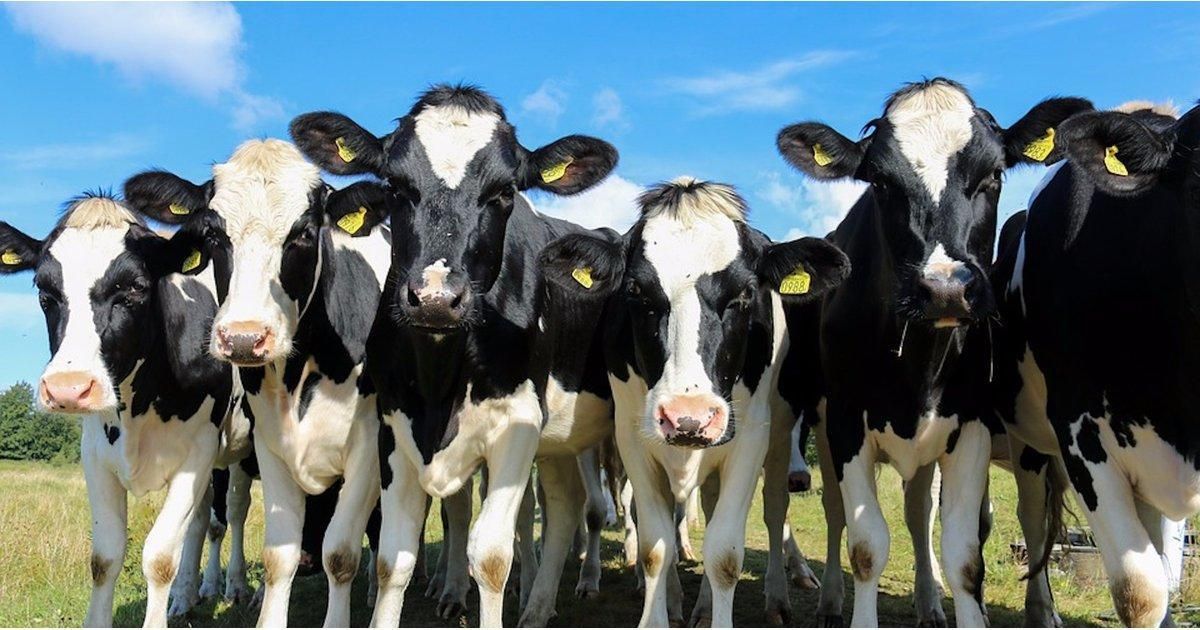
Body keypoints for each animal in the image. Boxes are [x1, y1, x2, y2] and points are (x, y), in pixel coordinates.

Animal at [0, 194, 251, 627]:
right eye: (45, 294)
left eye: (134, 287)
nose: (68, 388)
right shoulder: (95, 454)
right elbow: (105, 557)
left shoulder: (199, 450)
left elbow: (160, 557)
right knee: (202, 521)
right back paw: (187, 594)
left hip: (237, 452)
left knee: (233, 512)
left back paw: (233, 586)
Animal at [121, 138, 391, 627]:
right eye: (213, 235)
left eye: (304, 232)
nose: (244, 337)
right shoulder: (269, 445)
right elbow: (278, 555)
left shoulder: (368, 447)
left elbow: (341, 554)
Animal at [289, 84, 621, 627]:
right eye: (395, 185)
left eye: (505, 192)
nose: (436, 298)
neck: (439, 383)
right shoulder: (393, 427)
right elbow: (393, 558)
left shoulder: (517, 424)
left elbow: (491, 557)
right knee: (566, 503)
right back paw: (537, 609)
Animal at [542, 178, 850, 627]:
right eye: (635, 290)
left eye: (745, 292)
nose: (688, 418)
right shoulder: (632, 439)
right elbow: (655, 547)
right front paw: (658, 607)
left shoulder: (749, 439)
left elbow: (724, 553)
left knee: (771, 508)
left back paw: (761, 598)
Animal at [775, 77, 1092, 626]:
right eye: (880, 183)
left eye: (993, 175)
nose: (945, 290)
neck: (918, 365)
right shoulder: (845, 423)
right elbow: (866, 546)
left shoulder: (971, 425)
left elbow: (964, 553)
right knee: (838, 511)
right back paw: (831, 598)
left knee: (943, 513)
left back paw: (941, 601)